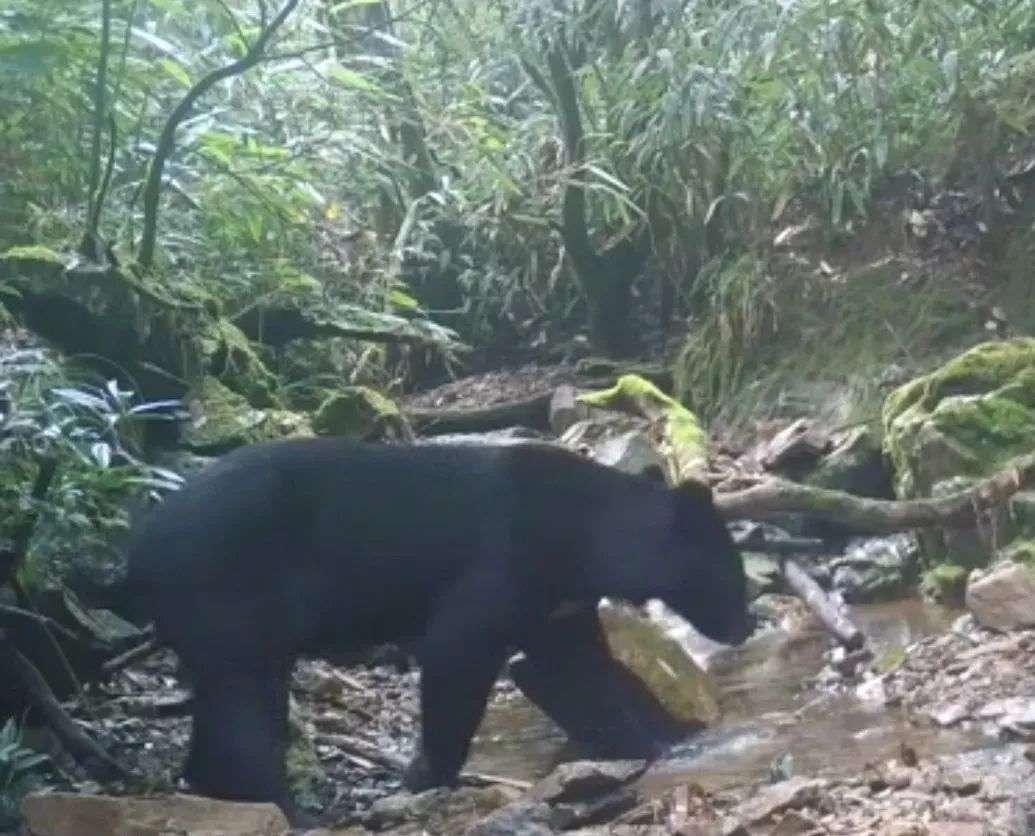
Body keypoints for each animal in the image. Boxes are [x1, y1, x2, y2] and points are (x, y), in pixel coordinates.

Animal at [127, 436, 753, 815]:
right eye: (733, 574)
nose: (746, 625)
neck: (583, 541)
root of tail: (139, 549)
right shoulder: (501, 569)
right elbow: (458, 654)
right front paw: (428, 774)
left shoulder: (558, 608)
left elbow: (580, 672)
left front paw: (649, 745)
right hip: (229, 598)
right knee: (246, 711)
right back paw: (289, 811)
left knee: (222, 709)